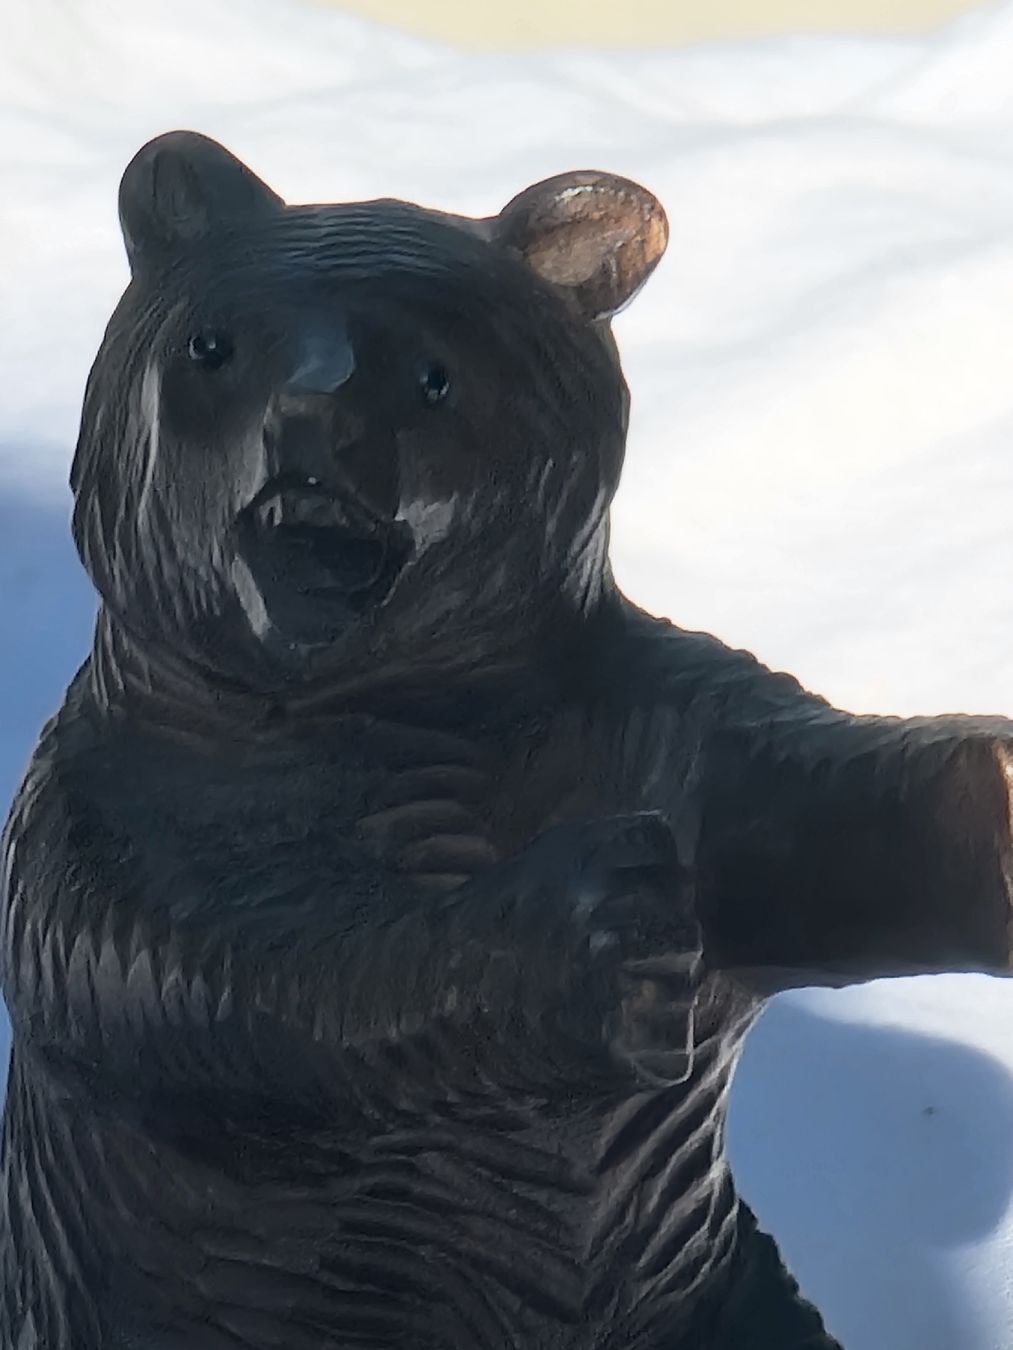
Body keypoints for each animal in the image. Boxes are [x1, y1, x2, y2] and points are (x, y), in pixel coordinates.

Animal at [1, 129, 1011, 1350]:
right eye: (213, 344)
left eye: (433, 374)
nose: (311, 415)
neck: (395, 706)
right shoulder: (106, 821)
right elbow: (239, 973)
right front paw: (604, 928)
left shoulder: (661, 727)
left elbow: (808, 826)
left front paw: (992, 798)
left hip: (711, 1286)